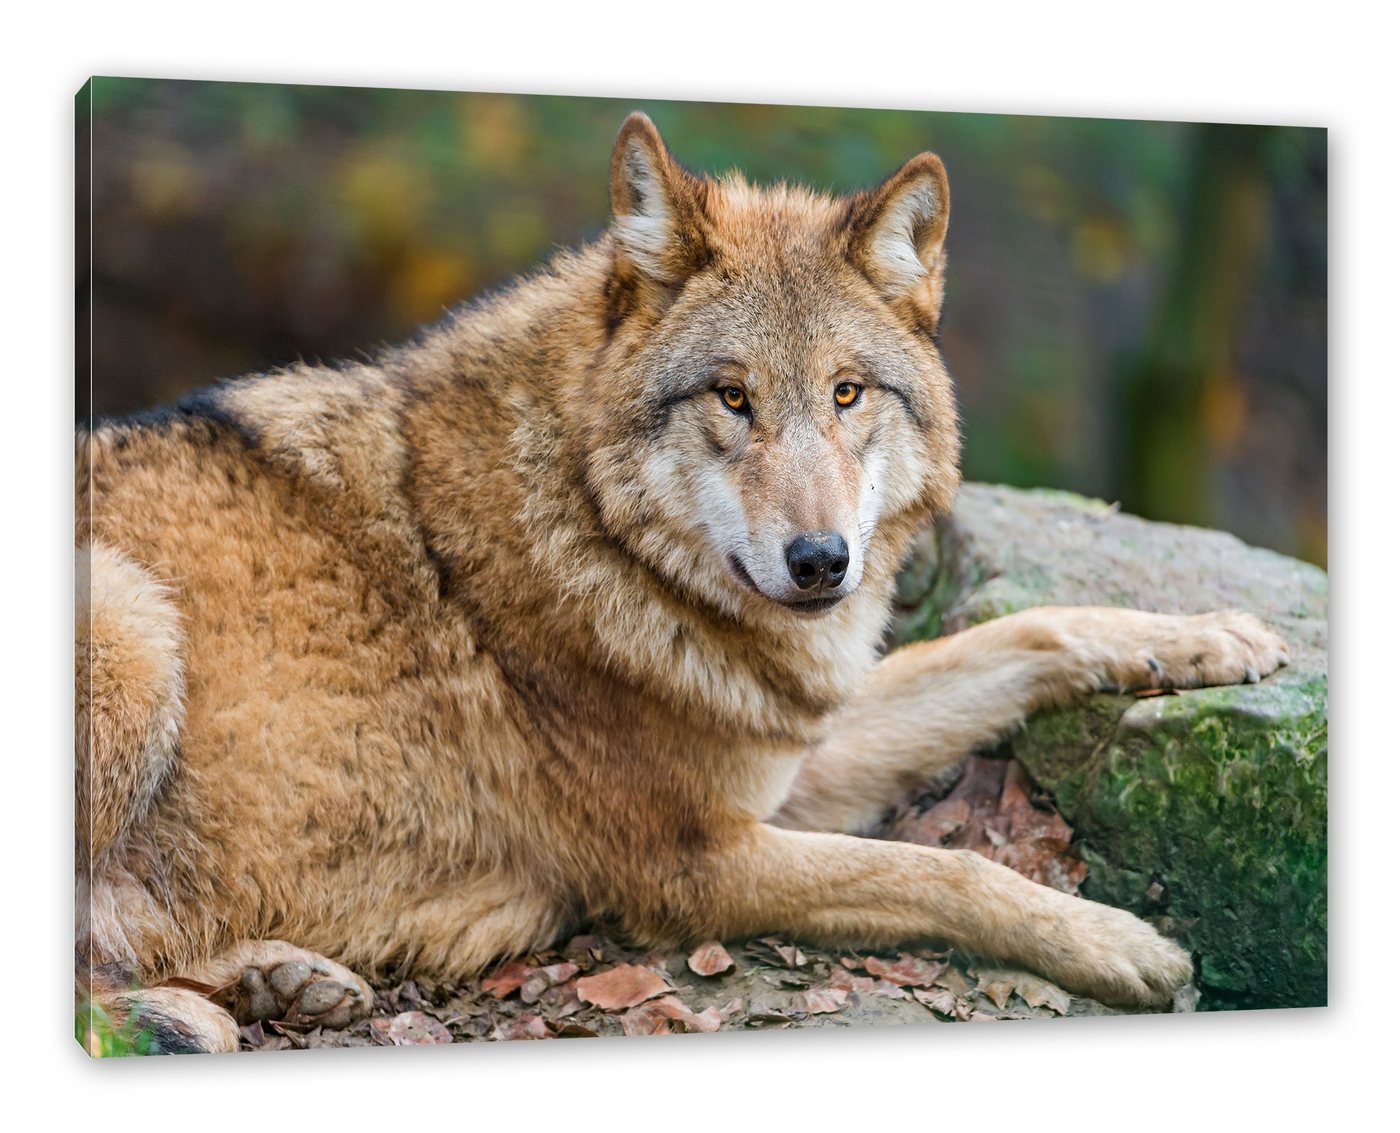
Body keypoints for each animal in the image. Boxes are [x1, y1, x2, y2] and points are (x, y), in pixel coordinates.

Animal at [73, 114, 1282, 1053]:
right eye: (732, 397)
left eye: (846, 393)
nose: (820, 561)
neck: (596, 531)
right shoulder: (692, 863)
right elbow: (944, 874)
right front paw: (1119, 941)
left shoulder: (792, 755)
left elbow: (1018, 634)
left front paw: (1212, 636)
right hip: (132, 623)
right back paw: (198, 1016)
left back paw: (278, 978)